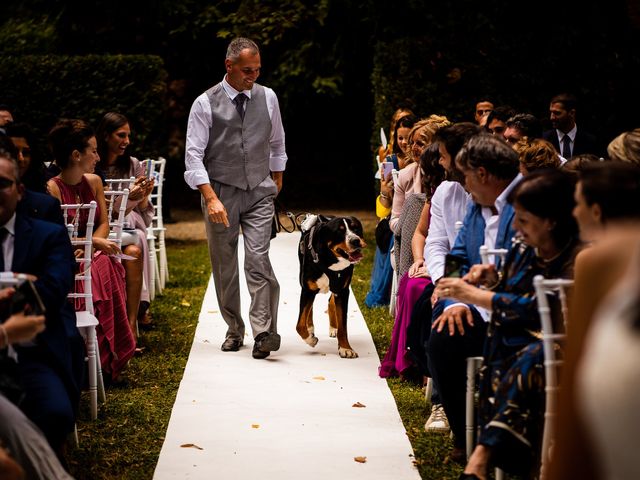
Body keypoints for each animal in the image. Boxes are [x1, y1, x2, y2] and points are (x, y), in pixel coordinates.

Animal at [296, 214, 364, 356]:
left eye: (356, 228)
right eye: (339, 231)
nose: (356, 240)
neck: (330, 260)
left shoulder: (342, 290)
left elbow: (343, 325)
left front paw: (345, 348)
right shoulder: (307, 290)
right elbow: (300, 324)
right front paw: (310, 340)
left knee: (331, 301)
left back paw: (333, 327)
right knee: (309, 309)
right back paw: (310, 328)